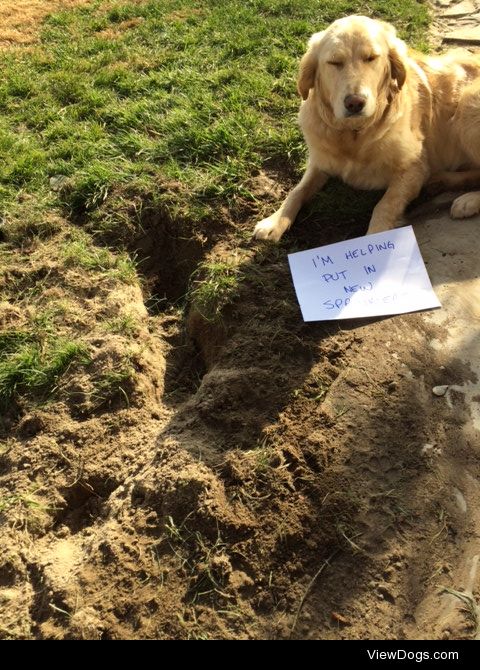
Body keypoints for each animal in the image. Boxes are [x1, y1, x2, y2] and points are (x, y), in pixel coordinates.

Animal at [255, 14, 480, 242]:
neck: (354, 134)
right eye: (334, 62)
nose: (355, 103)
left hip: (468, 105)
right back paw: (442, 181)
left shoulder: (414, 168)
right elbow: (298, 190)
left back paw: (467, 200)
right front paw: (274, 220)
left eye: (371, 58)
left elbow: (384, 205)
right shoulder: (320, 161)